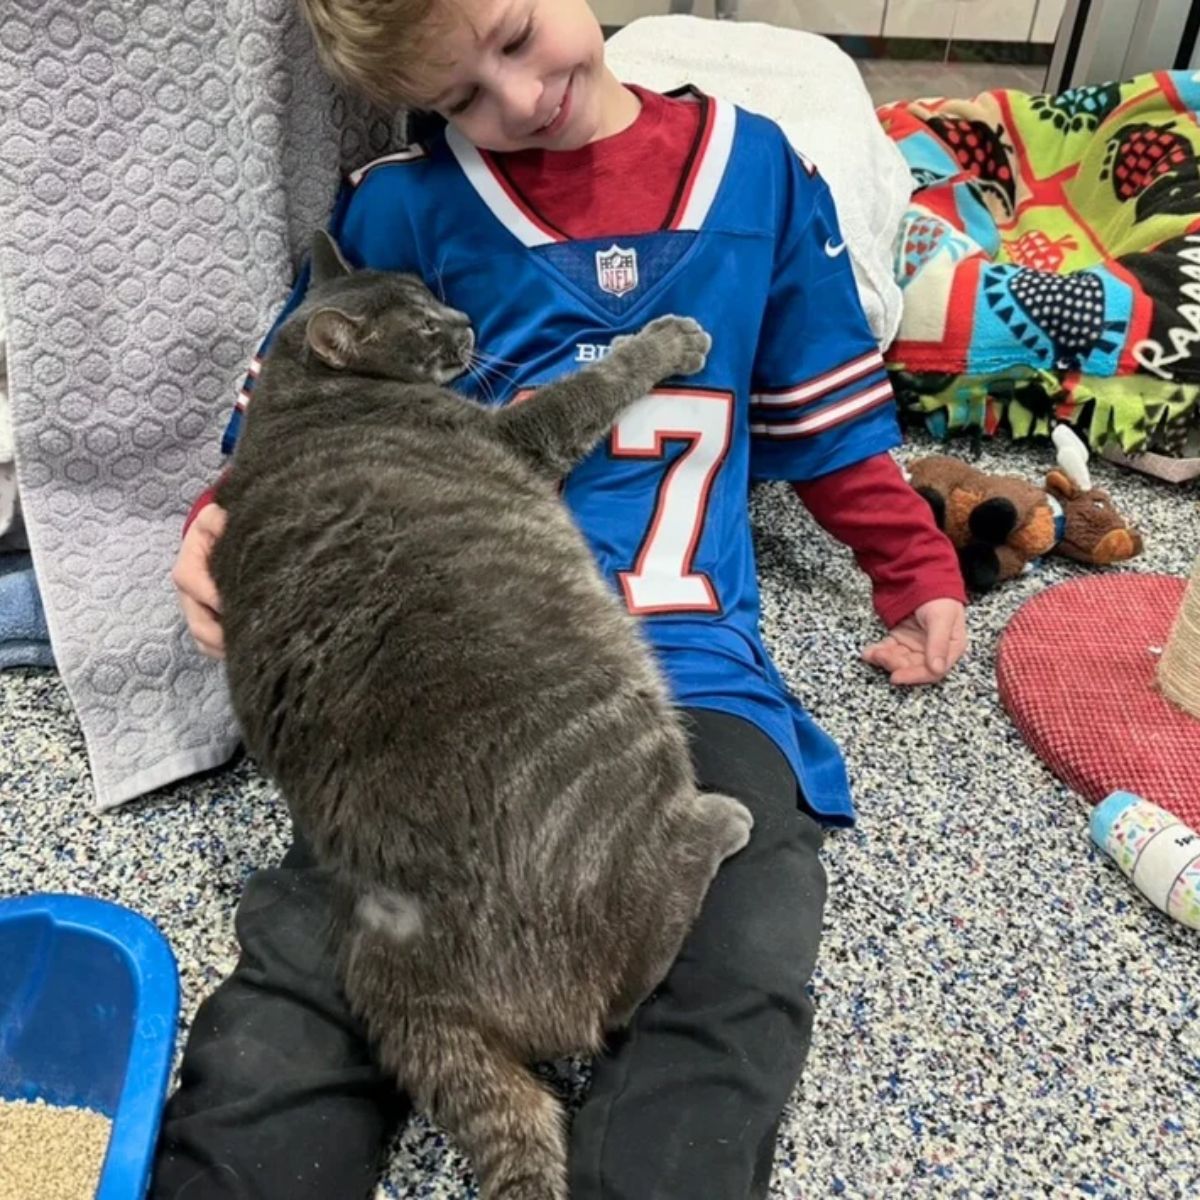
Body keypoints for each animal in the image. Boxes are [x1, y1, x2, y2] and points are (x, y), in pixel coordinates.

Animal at [207, 231, 748, 1200]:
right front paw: (666, 339)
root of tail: (404, 960)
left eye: (430, 293)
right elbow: (590, 386)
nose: (463, 321)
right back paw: (718, 824)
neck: (305, 401)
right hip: (626, 734)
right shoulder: (517, 433)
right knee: (618, 987)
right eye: (423, 328)